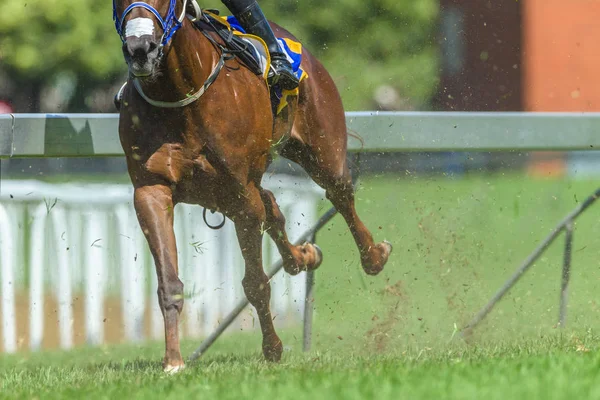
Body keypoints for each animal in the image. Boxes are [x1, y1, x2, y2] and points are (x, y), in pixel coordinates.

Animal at [111, 0, 394, 372]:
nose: (141, 49)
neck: (181, 96)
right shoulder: (151, 190)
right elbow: (169, 283)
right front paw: (173, 360)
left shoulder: (241, 195)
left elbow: (255, 283)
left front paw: (272, 348)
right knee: (272, 206)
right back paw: (303, 255)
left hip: (322, 149)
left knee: (340, 195)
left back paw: (373, 256)